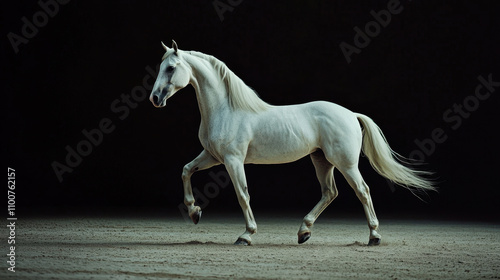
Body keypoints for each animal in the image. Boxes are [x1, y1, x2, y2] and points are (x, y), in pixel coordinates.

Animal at [150, 40, 436, 246]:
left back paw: (374, 237)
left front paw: (246, 235)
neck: (227, 109)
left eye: (171, 68)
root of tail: (351, 114)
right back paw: (303, 232)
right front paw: (194, 212)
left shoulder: (233, 160)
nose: (155, 98)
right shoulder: (212, 156)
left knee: (362, 191)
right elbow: (186, 171)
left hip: (345, 164)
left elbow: (243, 194)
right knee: (330, 192)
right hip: (321, 161)